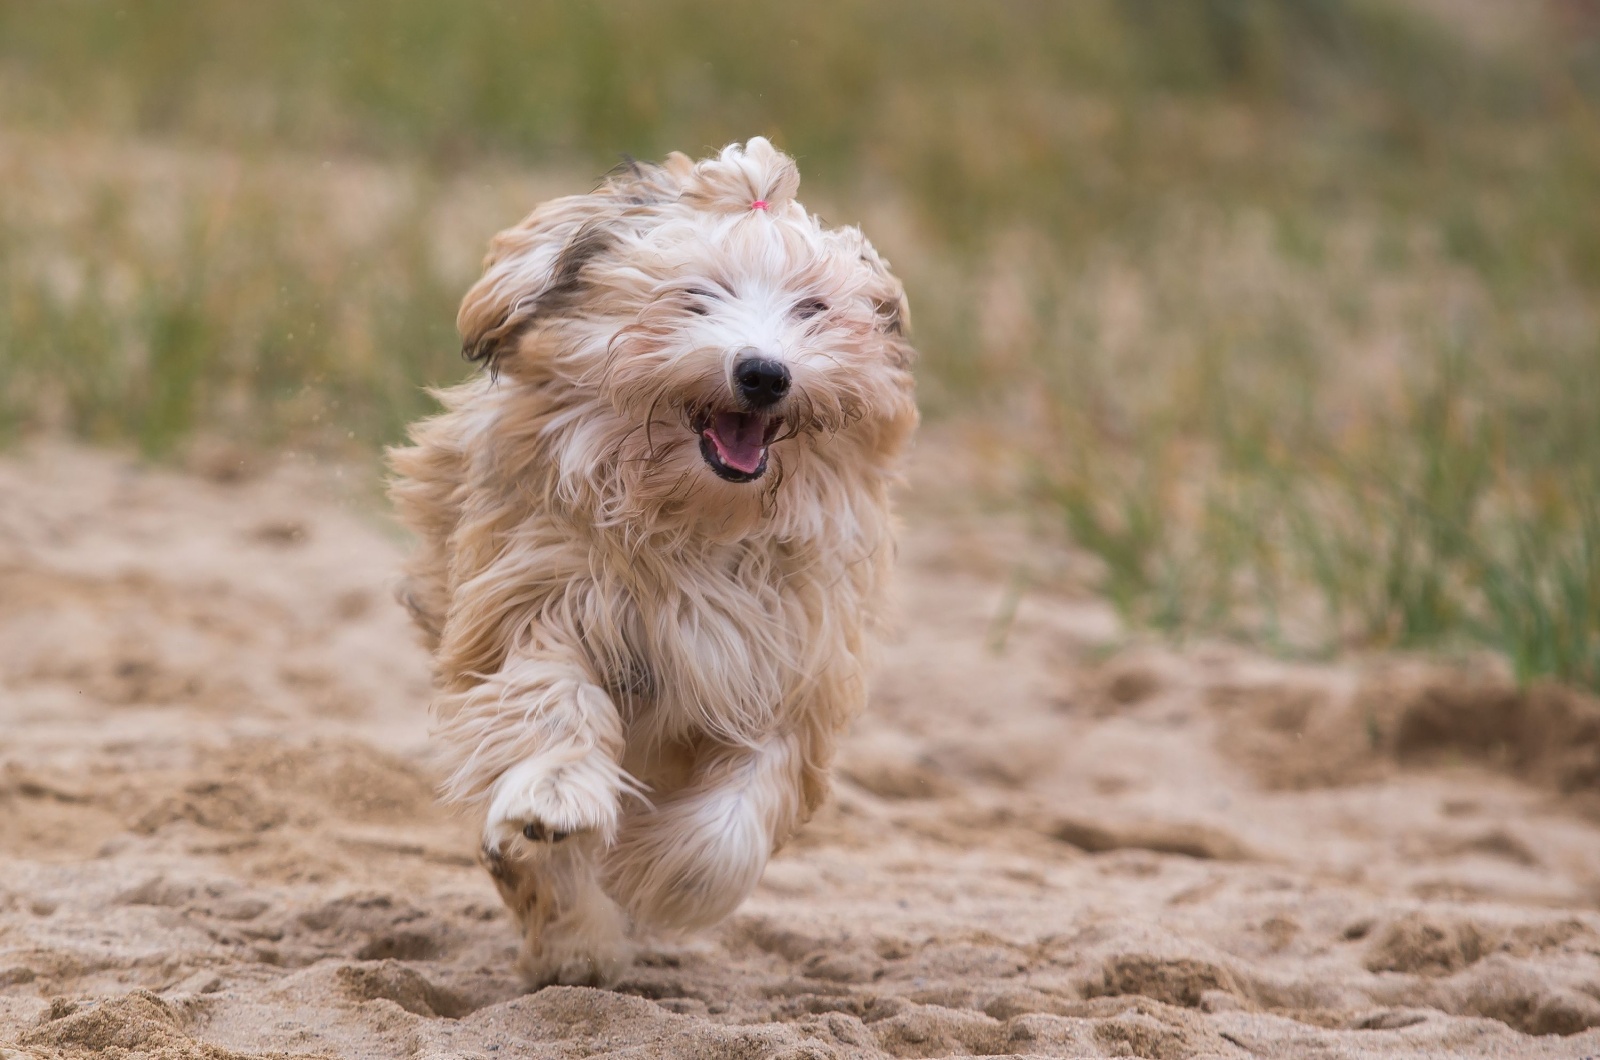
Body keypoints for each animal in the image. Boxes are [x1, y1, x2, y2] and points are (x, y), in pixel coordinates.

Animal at [387, 135, 921, 986]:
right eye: (696, 296)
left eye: (812, 309)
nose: (764, 372)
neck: (696, 524)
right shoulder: (536, 602)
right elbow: (550, 705)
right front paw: (556, 801)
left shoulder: (787, 671)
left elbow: (738, 814)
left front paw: (661, 873)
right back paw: (571, 939)